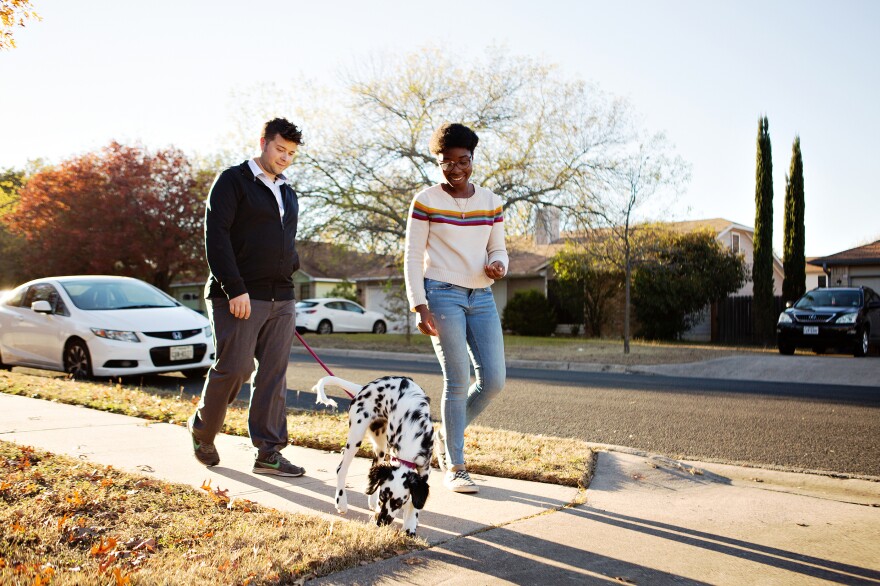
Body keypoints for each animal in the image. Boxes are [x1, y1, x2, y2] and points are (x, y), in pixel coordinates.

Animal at [314, 374, 434, 532]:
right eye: (383, 497)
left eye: (398, 503)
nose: (380, 522)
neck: (411, 434)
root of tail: (364, 388)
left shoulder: (425, 468)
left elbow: (414, 503)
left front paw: (410, 524)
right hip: (356, 436)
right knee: (341, 469)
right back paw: (341, 503)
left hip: (380, 445)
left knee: (375, 466)